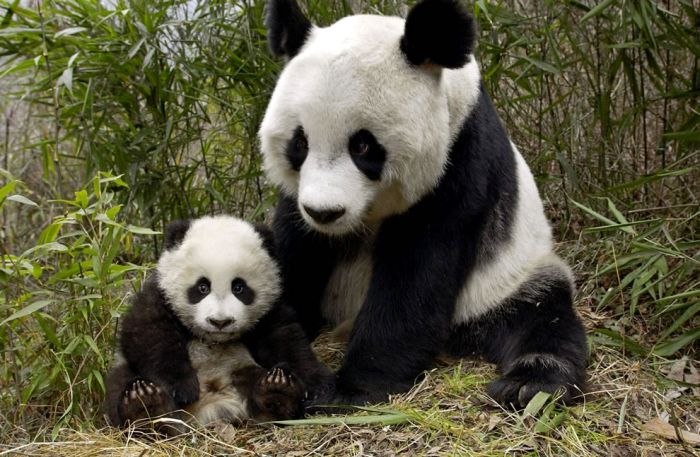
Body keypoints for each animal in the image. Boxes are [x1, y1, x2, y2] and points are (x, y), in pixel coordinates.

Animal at [260, 0, 588, 406]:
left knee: (543, 318)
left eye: (362, 145)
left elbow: (417, 274)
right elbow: (295, 251)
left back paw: (529, 384)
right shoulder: (298, 201)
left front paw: (352, 389)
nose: (325, 213)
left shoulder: (459, 161)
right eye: (300, 143)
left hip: (508, 279)